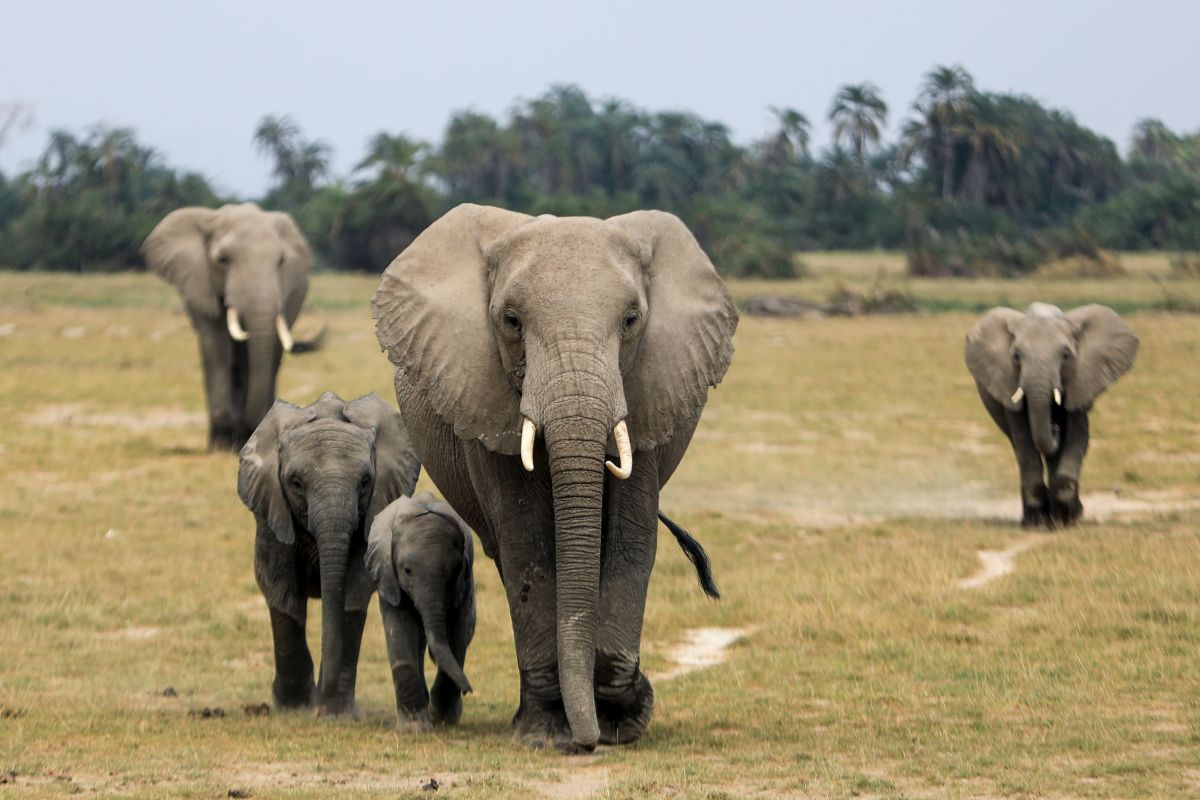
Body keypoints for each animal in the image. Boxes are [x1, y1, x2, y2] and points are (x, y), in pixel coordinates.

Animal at [142, 203, 321, 453]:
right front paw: (222, 444)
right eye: (223, 259)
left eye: (281, 261)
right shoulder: (201, 285)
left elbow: (264, 354)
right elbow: (216, 346)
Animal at [236, 391, 420, 714]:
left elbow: (354, 591)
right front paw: (293, 705)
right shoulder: (272, 513)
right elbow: (281, 590)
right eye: (296, 484)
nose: (322, 696)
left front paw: (333, 711)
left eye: (365, 482)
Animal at [367, 489, 475, 734]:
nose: (469, 690)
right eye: (407, 571)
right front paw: (414, 729)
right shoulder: (388, 576)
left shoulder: (463, 585)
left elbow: (456, 640)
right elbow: (399, 632)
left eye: (454, 571)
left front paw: (441, 719)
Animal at [960, 303, 1137, 527]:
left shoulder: (1081, 379)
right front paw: (1037, 523)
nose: (1054, 427)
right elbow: (1024, 440)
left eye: (1066, 355)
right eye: (1016, 356)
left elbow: (1077, 435)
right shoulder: (1008, 381)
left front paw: (1066, 520)